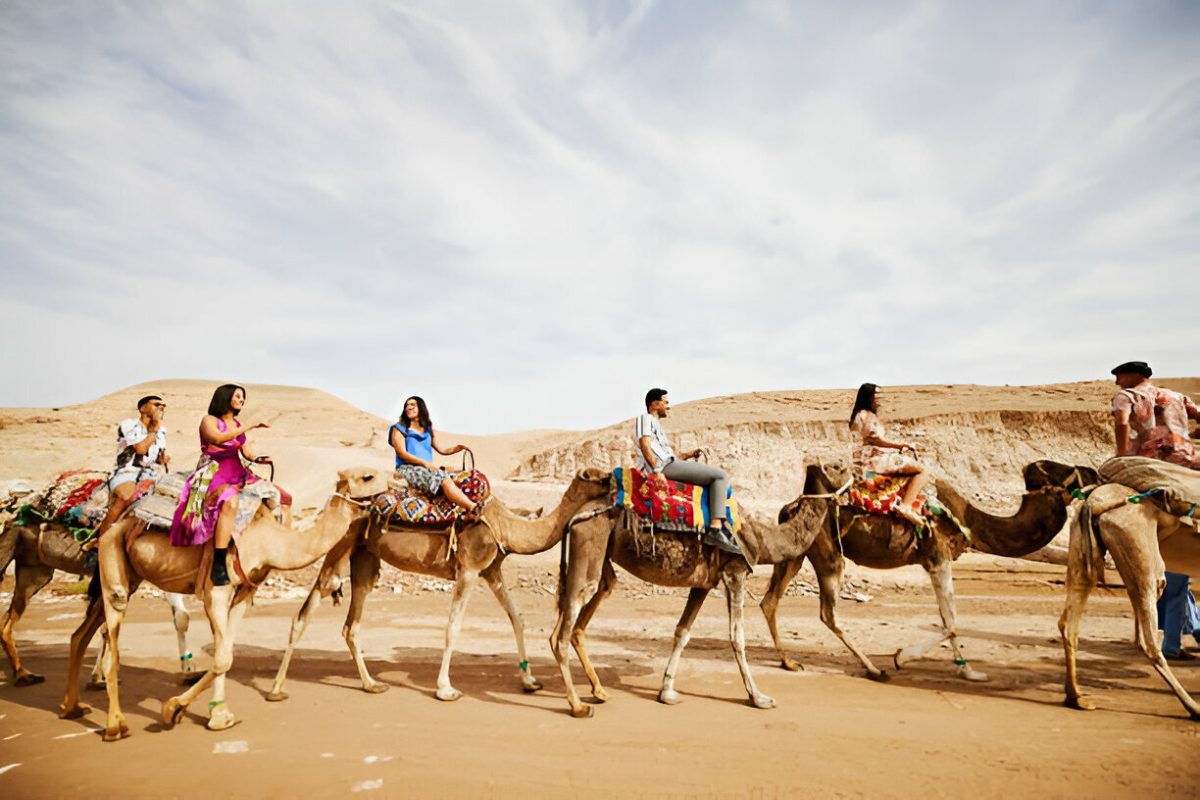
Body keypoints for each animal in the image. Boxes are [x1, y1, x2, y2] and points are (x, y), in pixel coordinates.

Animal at [0, 518, 197, 687]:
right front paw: (100, 676)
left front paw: (189, 671)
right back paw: (23, 675)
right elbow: (106, 628)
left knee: (7, 619)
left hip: (35, 571)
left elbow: (181, 617)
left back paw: (24, 675)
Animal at [56, 467, 386, 741]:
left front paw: (218, 716)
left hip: (131, 572)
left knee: (80, 634)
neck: (269, 540)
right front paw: (174, 708)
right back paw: (115, 726)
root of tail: (113, 520)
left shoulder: (243, 593)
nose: (392, 487)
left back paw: (72, 707)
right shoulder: (216, 590)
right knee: (112, 632)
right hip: (113, 557)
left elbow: (225, 653)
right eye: (368, 476)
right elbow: (222, 657)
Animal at [266, 468, 612, 703]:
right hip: (341, 542)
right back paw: (276, 689)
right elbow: (452, 628)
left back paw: (371, 684)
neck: (506, 525)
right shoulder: (469, 568)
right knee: (309, 608)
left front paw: (529, 680)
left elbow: (517, 618)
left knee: (352, 622)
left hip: (364, 555)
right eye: (592, 475)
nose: (613, 479)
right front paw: (445, 688)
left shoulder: (491, 570)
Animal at [760, 460, 1096, 682]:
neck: (970, 520)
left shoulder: (935, 561)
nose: (1092, 471)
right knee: (827, 613)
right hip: (829, 556)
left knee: (770, 601)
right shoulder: (938, 557)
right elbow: (951, 621)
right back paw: (874, 669)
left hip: (795, 553)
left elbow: (949, 620)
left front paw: (969, 670)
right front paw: (901, 657)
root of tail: (791, 507)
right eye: (1055, 468)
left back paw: (789, 662)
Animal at [1059, 482, 1200, 719]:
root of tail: (1093, 501)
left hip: (1083, 554)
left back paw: (1076, 698)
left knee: (1068, 625)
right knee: (1149, 642)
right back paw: (1193, 707)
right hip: (1145, 561)